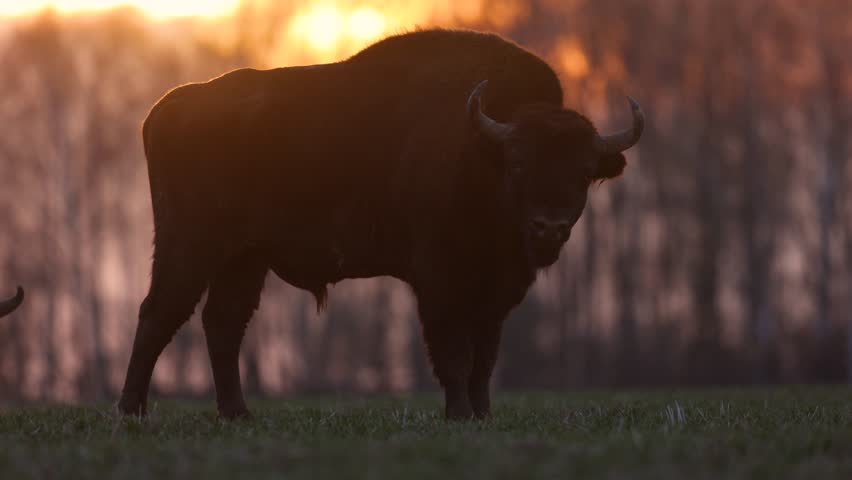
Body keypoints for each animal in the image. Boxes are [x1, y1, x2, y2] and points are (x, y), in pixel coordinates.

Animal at [117, 29, 643, 420]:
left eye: (584, 172)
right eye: (517, 164)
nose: (548, 227)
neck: (479, 151)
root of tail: (165, 109)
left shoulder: (497, 293)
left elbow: (485, 358)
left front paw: (482, 414)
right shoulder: (438, 281)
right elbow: (454, 353)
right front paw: (458, 415)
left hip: (244, 259)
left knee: (222, 323)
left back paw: (238, 415)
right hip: (189, 245)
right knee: (159, 313)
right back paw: (132, 411)